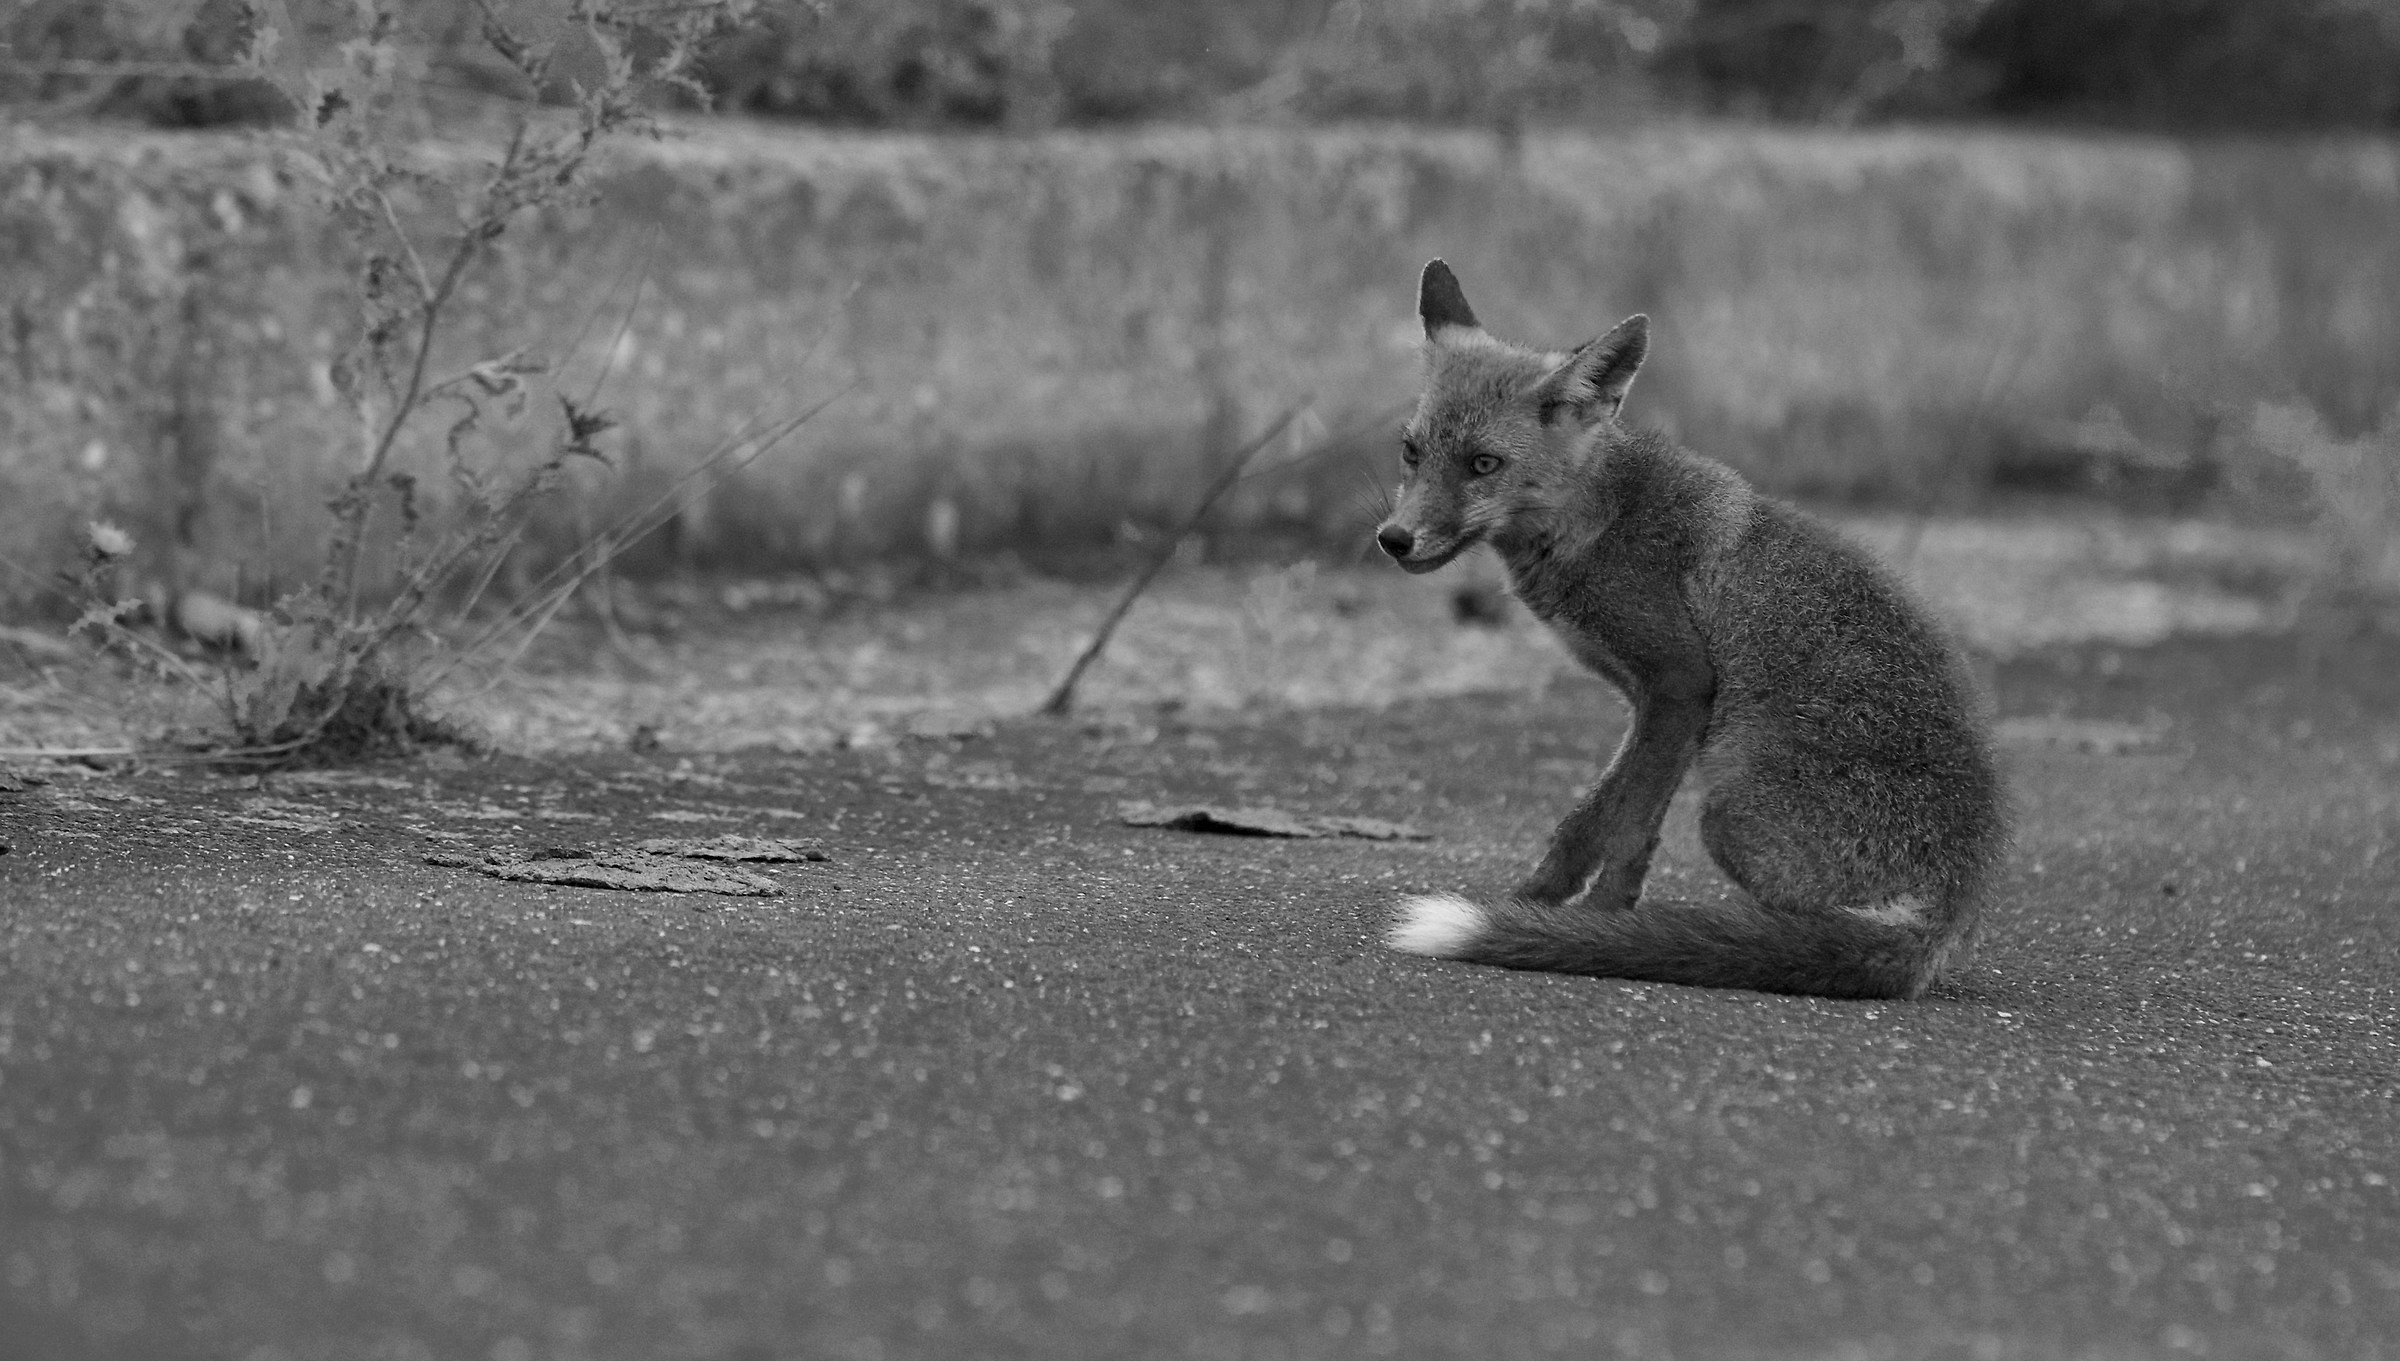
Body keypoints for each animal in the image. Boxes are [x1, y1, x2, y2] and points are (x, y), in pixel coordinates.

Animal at [1373, 260, 2007, 1000]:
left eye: (1482, 463)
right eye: (1411, 451)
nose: (1394, 538)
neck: (1598, 520)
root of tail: (1955, 905)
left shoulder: (1680, 683)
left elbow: (1623, 826)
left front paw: (1593, 929)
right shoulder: (1656, 705)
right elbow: (1601, 822)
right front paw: (1545, 907)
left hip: (1729, 817)